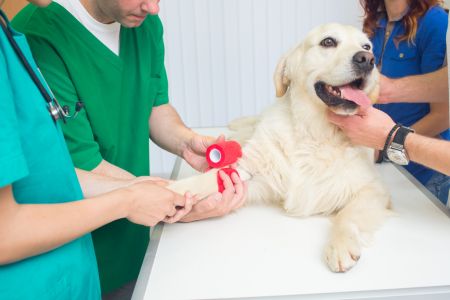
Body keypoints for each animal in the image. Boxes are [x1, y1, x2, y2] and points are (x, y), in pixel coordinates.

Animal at [169, 23, 390, 272]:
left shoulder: (375, 189)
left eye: (367, 46)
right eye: (328, 42)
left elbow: (348, 216)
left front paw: (340, 245)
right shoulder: (252, 172)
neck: (317, 133)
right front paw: (164, 192)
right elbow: (203, 181)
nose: (367, 59)